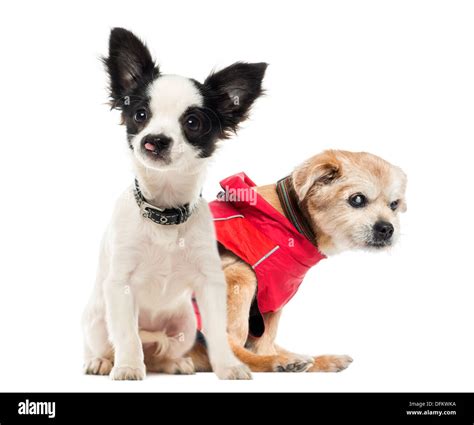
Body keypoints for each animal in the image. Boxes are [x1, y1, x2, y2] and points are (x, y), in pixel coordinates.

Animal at [189, 149, 408, 372]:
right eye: (357, 199)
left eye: (394, 204)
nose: (387, 228)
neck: (288, 220)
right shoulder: (237, 276)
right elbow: (237, 335)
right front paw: (262, 361)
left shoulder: (273, 296)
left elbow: (266, 337)